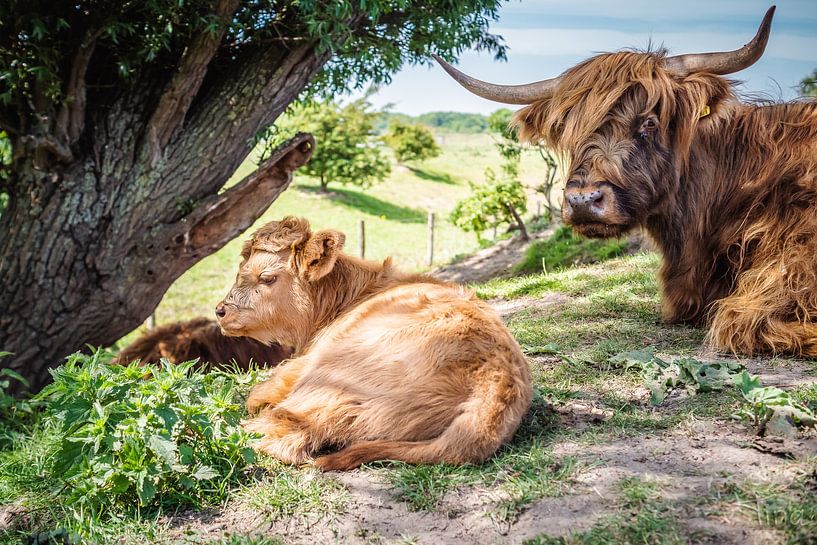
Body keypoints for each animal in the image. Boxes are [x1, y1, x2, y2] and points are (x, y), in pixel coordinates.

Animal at [214, 216, 532, 468]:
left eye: (266, 278)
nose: (220, 311)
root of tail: (499, 378)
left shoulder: (303, 363)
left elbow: (262, 390)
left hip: (330, 380)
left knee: (278, 431)